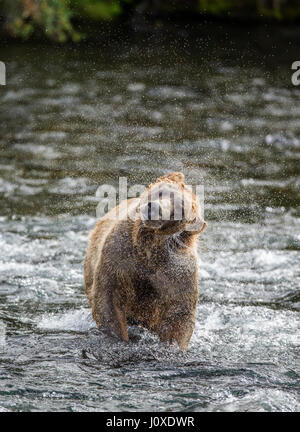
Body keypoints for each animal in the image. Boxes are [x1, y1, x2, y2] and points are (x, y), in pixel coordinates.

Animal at [84, 170, 206, 350]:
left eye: (179, 210)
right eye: (161, 191)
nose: (154, 207)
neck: (149, 248)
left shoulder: (177, 273)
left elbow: (179, 315)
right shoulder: (120, 257)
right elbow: (108, 298)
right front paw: (119, 337)